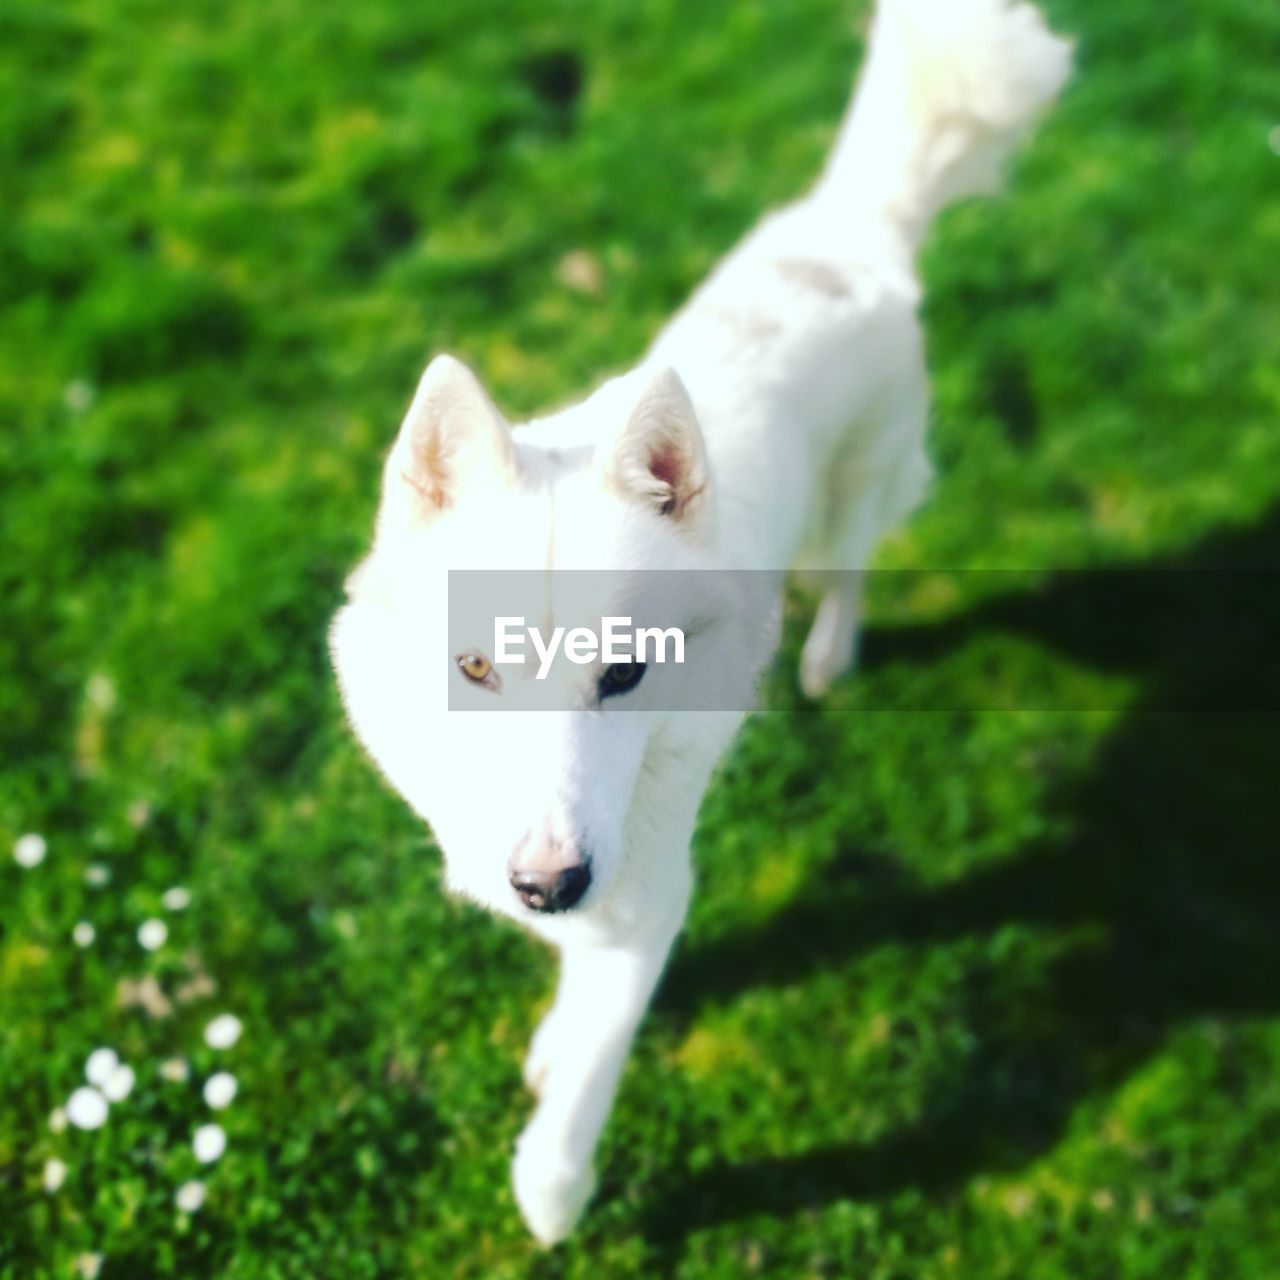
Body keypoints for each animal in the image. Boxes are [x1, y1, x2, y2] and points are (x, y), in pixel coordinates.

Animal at [330, 0, 1070, 1244]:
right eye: (473, 668)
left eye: (626, 675)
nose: (544, 884)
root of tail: (849, 230)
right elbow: (571, 988)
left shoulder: (648, 885)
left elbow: (595, 1052)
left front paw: (552, 1187)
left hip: (850, 500)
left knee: (850, 569)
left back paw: (826, 657)